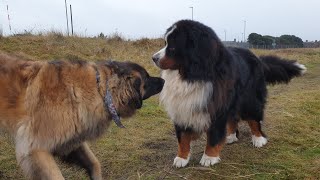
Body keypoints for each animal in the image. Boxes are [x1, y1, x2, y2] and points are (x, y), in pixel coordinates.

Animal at [0, 52, 164, 179]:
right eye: (147, 78)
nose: (163, 80)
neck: (100, 90)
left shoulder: (70, 141)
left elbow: (94, 163)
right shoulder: (35, 148)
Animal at [151, 19, 306, 167]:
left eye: (172, 46)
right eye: (165, 43)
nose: (153, 58)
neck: (192, 75)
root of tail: (257, 58)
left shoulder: (216, 106)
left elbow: (213, 135)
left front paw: (209, 157)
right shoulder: (181, 107)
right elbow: (182, 137)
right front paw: (181, 158)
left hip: (250, 99)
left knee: (254, 119)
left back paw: (258, 138)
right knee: (233, 118)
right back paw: (231, 136)